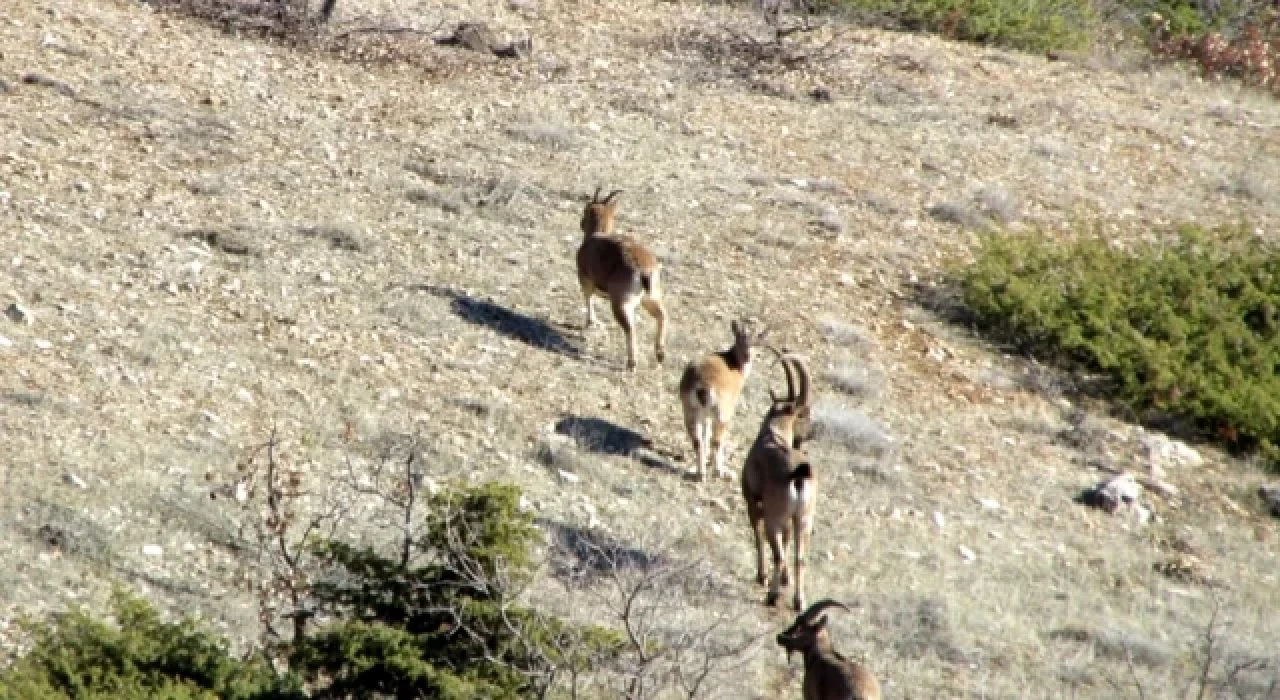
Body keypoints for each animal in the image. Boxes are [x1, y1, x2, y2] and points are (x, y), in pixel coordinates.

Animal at [573, 186, 665, 373]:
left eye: (586, 209)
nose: (581, 222)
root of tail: (644, 272)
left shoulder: (584, 278)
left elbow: (588, 297)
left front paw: (590, 322)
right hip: (651, 297)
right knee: (661, 315)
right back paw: (660, 354)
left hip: (622, 302)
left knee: (631, 328)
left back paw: (632, 363)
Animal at [675, 322, 762, 481]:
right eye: (740, 340)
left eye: (755, 343)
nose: (748, 356)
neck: (735, 364)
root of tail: (702, 386)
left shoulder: (706, 416)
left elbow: (705, 434)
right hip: (722, 414)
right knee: (717, 441)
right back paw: (719, 472)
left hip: (690, 411)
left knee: (697, 441)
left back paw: (701, 474)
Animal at [742, 348, 819, 609]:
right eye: (804, 414)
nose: (809, 435)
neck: (772, 434)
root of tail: (798, 475)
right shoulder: (790, 520)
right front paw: (785, 580)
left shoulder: (753, 502)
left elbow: (757, 535)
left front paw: (761, 576)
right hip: (804, 519)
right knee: (800, 557)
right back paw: (799, 601)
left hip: (775, 518)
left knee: (777, 553)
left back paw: (772, 596)